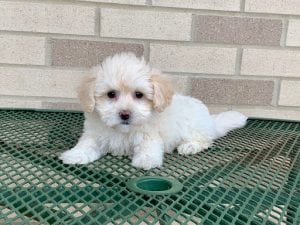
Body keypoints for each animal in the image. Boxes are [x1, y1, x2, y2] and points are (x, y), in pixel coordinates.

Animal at [59, 52, 248, 169]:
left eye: (139, 94)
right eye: (111, 94)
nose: (125, 114)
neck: (123, 130)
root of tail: (210, 121)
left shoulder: (149, 133)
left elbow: (149, 145)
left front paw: (146, 159)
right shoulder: (95, 133)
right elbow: (87, 144)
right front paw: (75, 155)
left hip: (193, 126)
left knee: (205, 140)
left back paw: (190, 146)